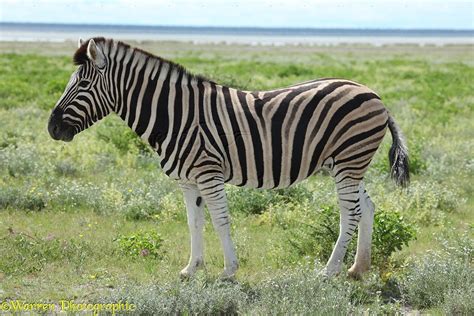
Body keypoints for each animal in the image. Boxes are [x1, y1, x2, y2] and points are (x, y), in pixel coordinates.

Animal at [49, 37, 412, 278]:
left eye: (82, 85)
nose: (52, 128)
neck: (176, 114)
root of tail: (374, 94)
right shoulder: (187, 180)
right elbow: (194, 222)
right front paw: (191, 268)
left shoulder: (208, 173)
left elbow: (220, 220)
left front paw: (228, 271)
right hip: (348, 164)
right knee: (367, 208)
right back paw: (358, 268)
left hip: (349, 161)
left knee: (350, 213)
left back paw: (329, 271)